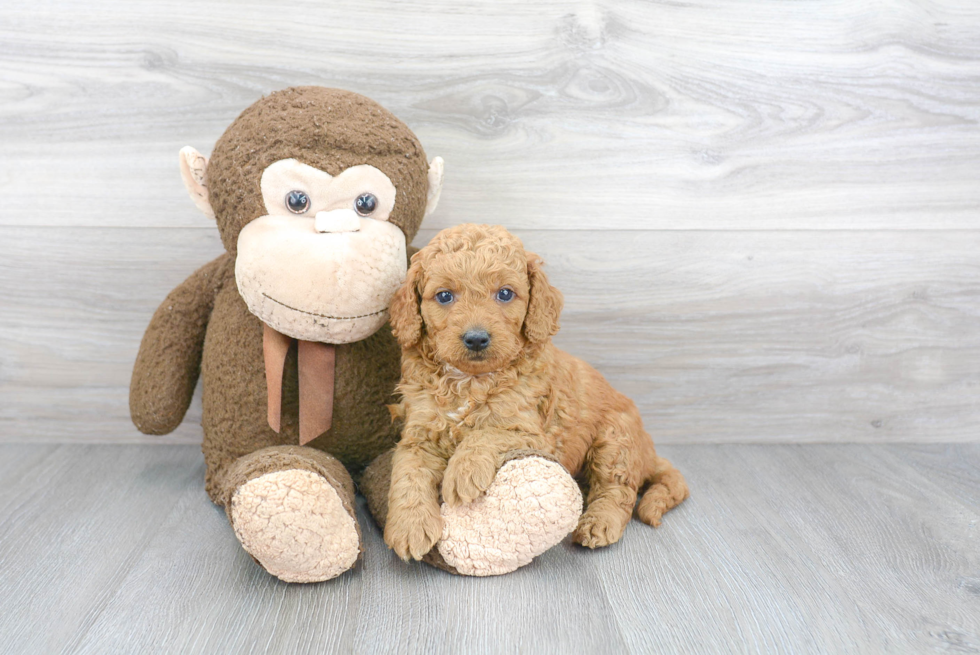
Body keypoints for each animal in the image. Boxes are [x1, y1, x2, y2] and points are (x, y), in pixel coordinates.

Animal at [382, 223, 688, 560]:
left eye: (505, 293)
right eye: (445, 296)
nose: (476, 339)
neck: (471, 381)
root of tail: (649, 452)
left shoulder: (533, 432)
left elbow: (486, 433)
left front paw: (463, 472)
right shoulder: (418, 433)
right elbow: (407, 472)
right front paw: (409, 526)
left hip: (615, 440)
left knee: (617, 490)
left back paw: (599, 523)